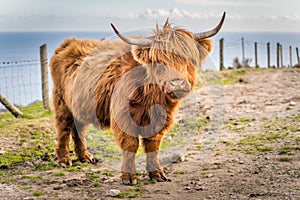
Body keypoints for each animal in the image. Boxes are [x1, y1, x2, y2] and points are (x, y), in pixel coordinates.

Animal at [50, 12, 226, 184]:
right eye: (158, 61)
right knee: (64, 127)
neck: (150, 96)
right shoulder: (124, 118)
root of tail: (69, 43)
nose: (177, 83)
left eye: (190, 59)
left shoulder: (160, 119)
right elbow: (130, 145)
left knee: (78, 127)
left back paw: (85, 156)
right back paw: (64, 159)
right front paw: (128, 177)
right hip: (62, 102)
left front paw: (157, 173)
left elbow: (153, 146)